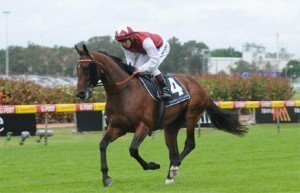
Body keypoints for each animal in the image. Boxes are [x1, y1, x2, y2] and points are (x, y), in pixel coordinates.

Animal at [74, 44, 246, 187]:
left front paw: (152, 165)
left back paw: (174, 168)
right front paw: (106, 178)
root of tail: (199, 85)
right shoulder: (117, 127)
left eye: (88, 67)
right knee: (173, 151)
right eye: (77, 68)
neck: (123, 92)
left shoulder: (144, 126)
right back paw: (170, 176)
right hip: (171, 127)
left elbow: (133, 150)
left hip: (192, 115)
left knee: (189, 144)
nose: (80, 93)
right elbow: (102, 145)